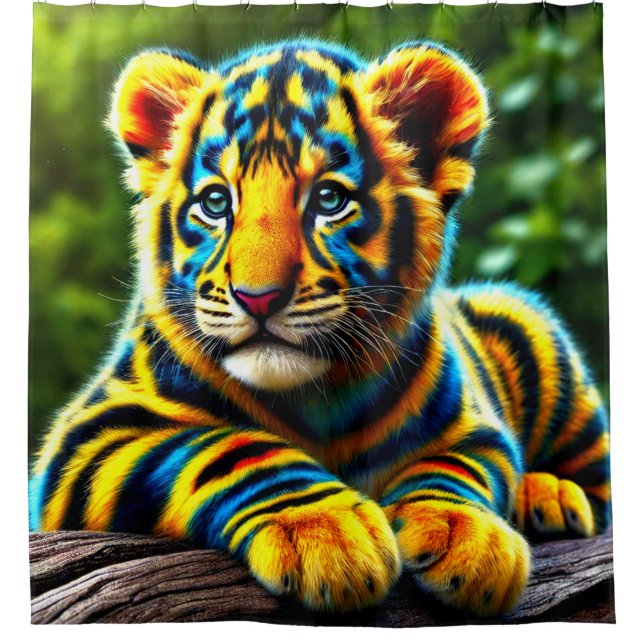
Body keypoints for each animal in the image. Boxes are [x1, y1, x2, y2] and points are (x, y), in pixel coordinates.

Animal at [29, 40, 611, 617]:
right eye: (215, 203)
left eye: (329, 200)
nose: (257, 298)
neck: (315, 397)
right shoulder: (91, 436)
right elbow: (227, 448)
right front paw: (324, 533)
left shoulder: (474, 424)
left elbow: (460, 467)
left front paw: (467, 538)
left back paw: (552, 497)